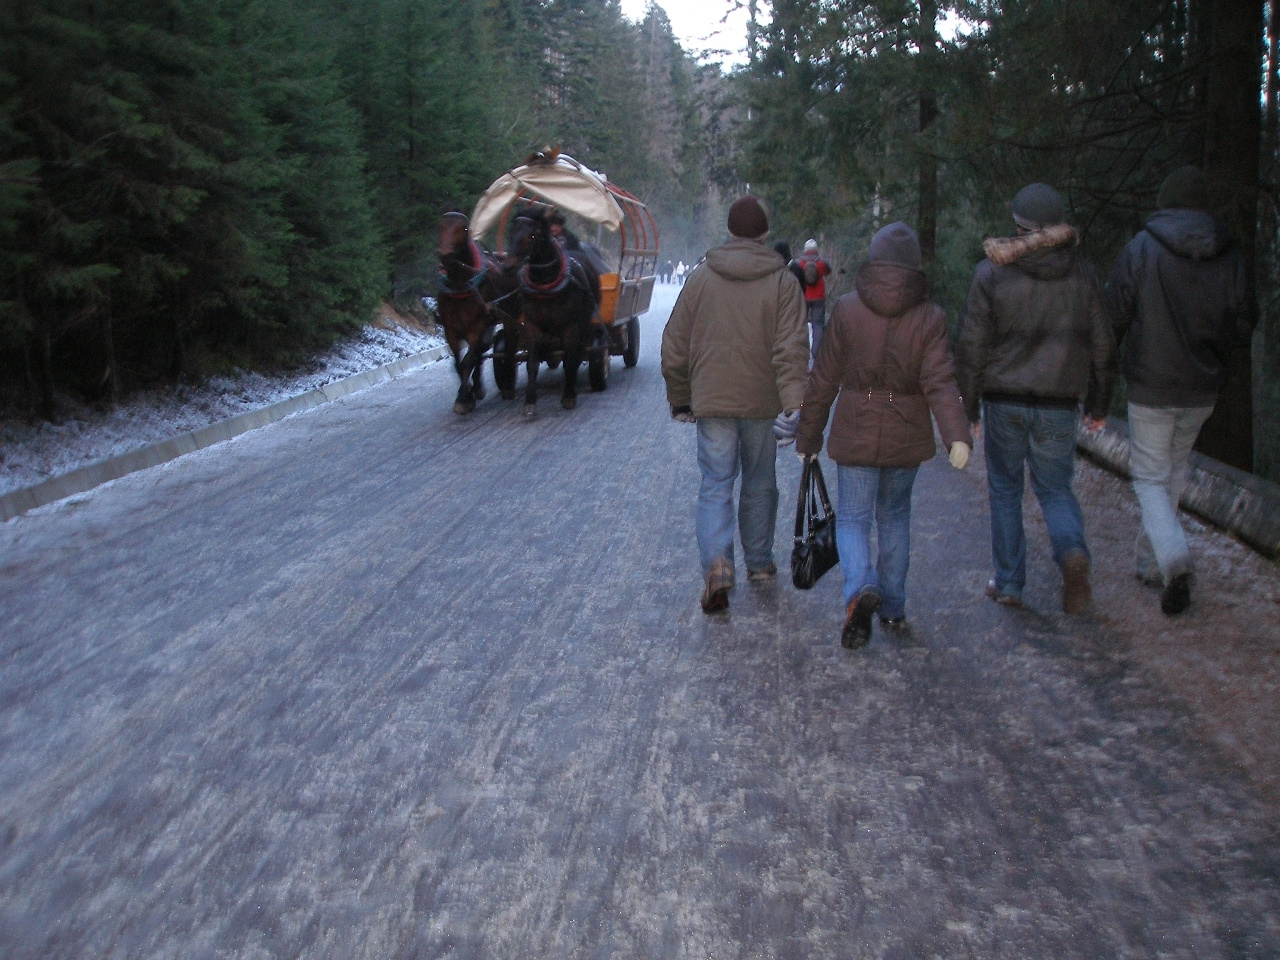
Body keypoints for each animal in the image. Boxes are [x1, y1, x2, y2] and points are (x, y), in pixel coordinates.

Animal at [440, 213, 519, 414]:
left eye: (464, 228)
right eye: (440, 226)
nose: (445, 255)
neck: (460, 288)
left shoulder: (477, 326)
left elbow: (469, 360)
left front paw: (464, 397)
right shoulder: (450, 330)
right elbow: (459, 363)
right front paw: (466, 394)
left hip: (509, 316)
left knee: (505, 345)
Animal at [504, 209, 599, 417]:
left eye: (533, 235)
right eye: (511, 232)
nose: (508, 266)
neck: (545, 287)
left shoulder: (571, 327)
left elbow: (570, 359)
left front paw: (569, 396)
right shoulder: (532, 326)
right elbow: (532, 363)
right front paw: (530, 401)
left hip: (585, 324)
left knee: (580, 352)